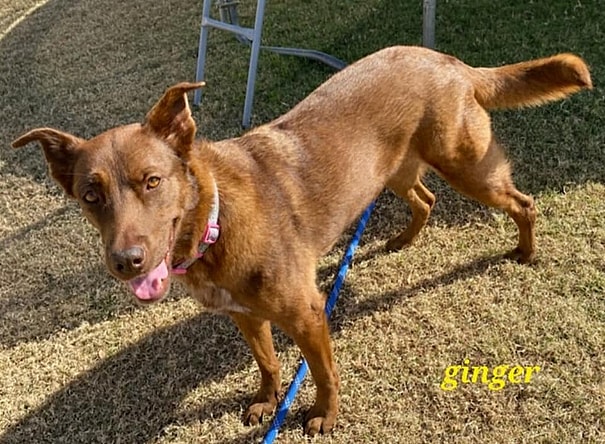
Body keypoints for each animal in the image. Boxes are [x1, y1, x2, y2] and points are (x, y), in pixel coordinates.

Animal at [12, 46, 591, 435]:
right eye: (90, 195)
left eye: (152, 181)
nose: (127, 262)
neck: (216, 222)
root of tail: (448, 60)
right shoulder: (245, 315)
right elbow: (268, 362)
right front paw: (268, 402)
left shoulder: (308, 313)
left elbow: (322, 371)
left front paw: (322, 416)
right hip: (393, 171)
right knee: (425, 200)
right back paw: (403, 241)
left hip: (467, 167)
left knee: (522, 203)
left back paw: (525, 251)